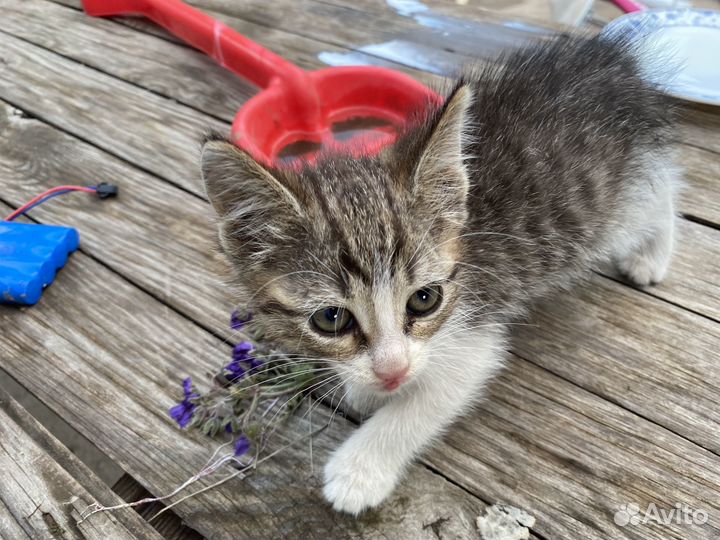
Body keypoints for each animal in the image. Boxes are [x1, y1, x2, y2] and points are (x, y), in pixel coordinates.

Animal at [201, 34, 680, 516]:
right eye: (330, 319)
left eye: (424, 299)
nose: (393, 372)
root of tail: (612, 59)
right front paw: (368, 389)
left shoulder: (473, 334)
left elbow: (424, 402)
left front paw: (359, 471)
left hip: (619, 204)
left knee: (662, 197)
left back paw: (651, 257)